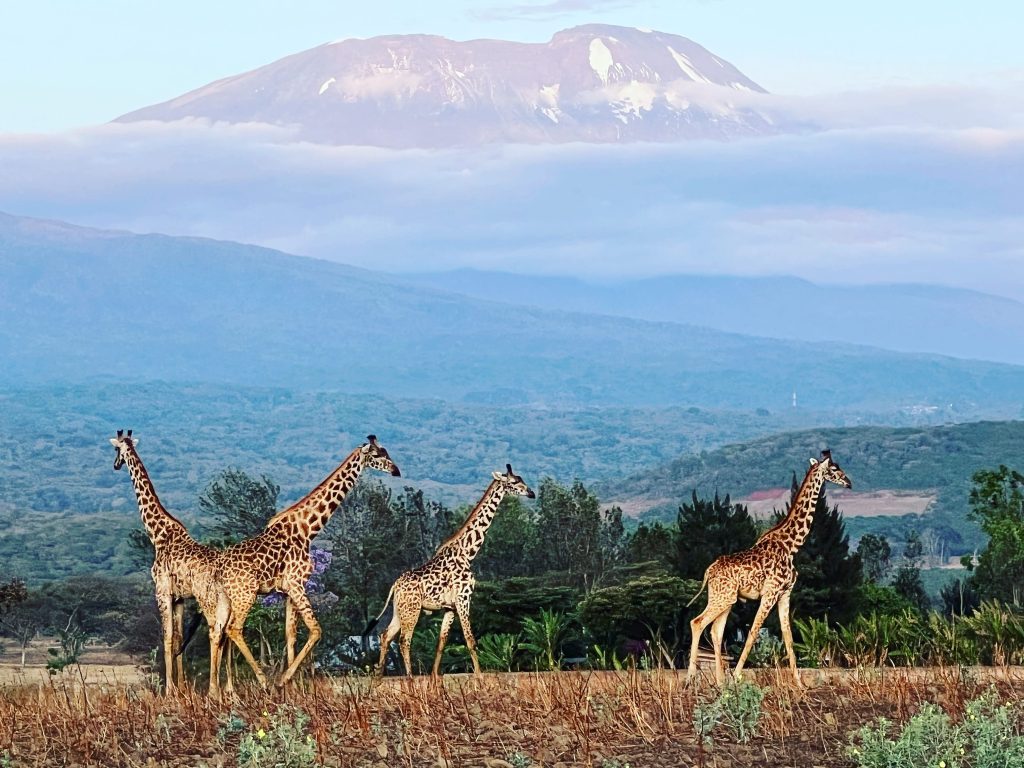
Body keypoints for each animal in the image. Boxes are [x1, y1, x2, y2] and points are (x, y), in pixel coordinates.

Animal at [110, 429, 233, 699]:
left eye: (115, 449)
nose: (115, 465)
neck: (158, 533)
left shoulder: (163, 591)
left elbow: (166, 639)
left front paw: (169, 691)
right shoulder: (179, 597)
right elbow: (177, 639)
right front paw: (183, 690)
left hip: (207, 600)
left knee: (216, 632)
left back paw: (215, 692)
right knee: (227, 632)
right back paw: (229, 691)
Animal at [210, 435, 401, 688]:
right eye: (378, 455)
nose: (396, 471)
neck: (308, 528)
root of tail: (218, 570)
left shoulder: (288, 590)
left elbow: (290, 635)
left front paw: (292, 686)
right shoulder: (297, 583)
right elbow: (316, 630)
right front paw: (284, 679)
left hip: (225, 597)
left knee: (218, 632)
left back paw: (215, 691)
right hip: (245, 594)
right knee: (233, 629)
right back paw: (262, 680)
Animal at [372, 464, 535, 677]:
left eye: (522, 479)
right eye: (515, 482)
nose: (531, 493)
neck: (467, 552)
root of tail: (395, 586)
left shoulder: (449, 607)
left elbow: (441, 642)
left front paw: (434, 678)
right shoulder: (463, 598)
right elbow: (470, 640)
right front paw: (480, 677)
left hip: (400, 610)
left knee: (385, 635)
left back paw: (378, 678)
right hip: (412, 609)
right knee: (404, 641)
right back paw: (410, 679)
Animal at [686, 449, 852, 686]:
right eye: (835, 468)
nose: (849, 482)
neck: (791, 545)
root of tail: (709, 571)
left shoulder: (785, 594)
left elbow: (788, 636)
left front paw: (799, 683)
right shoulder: (770, 593)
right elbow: (754, 632)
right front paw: (737, 676)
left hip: (725, 598)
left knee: (716, 631)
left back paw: (719, 681)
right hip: (723, 598)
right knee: (697, 622)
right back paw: (691, 678)